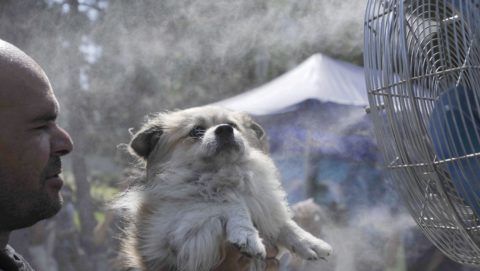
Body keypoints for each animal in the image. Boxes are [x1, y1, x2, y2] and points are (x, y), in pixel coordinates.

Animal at [115, 106, 334, 271]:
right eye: (196, 131)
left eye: (233, 125)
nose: (224, 129)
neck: (223, 173)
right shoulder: (177, 231)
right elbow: (225, 203)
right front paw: (247, 235)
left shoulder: (263, 205)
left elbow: (282, 222)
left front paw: (309, 242)